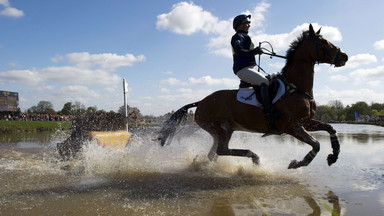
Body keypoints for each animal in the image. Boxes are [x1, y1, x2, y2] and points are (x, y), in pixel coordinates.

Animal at [156, 23, 348, 169]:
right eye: (323, 42)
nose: (344, 56)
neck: (296, 88)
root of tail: (201, 102)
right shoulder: (292, 126)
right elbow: (316, 144)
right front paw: (298, 163)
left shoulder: (305, 122)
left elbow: (331, 128)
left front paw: (334, 155)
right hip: (221, 129)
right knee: (221, 151)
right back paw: (254, 157)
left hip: (223, 131)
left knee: (215, 153)